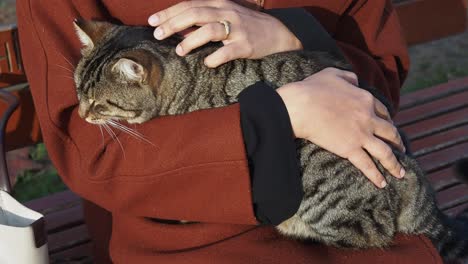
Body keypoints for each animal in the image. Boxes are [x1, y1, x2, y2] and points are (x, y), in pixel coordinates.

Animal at [71, 20, 466, 262]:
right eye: (78, 91)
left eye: (100, 103)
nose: (81, 115)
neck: (187, 81)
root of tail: (419, 191)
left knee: (372, 233)